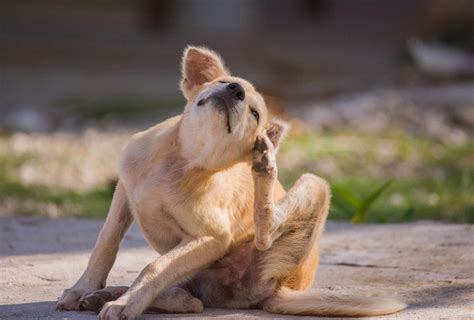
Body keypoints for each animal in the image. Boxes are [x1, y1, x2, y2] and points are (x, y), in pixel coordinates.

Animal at [54, 46, 404, 318]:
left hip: (311, 190)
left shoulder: (211, 237)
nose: (235, 90)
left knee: (260, 235)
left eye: (254, 113)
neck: (182, 161)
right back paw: (115, 295)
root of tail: (282, 291)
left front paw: (126, 304)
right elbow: (105, 243)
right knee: (191, 296)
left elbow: (154, 267)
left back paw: (265, 166)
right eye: (225, 82)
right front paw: (83, 288)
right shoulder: (124, 193)